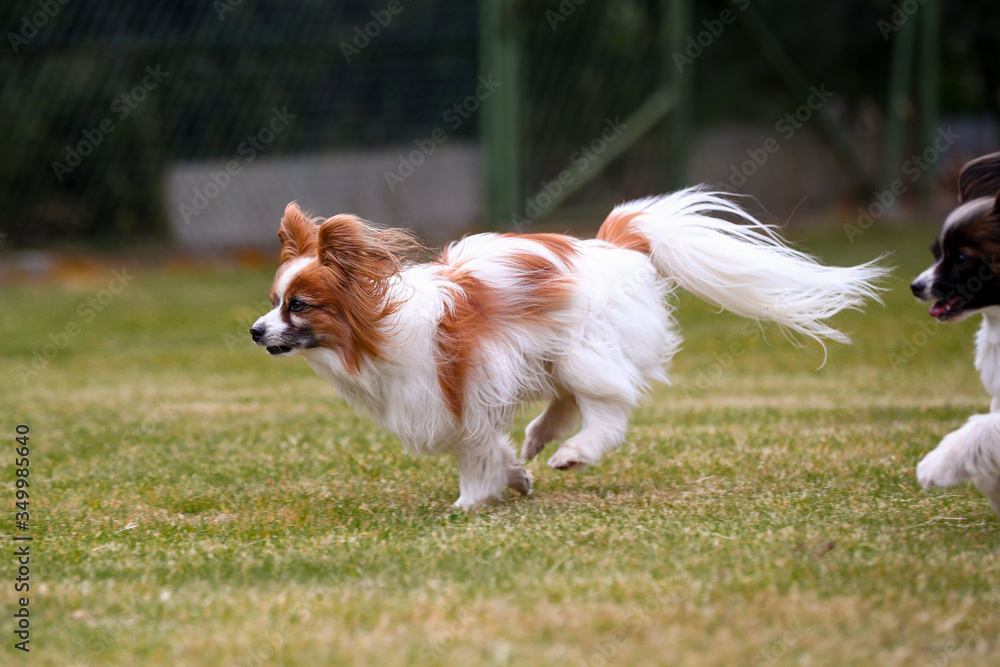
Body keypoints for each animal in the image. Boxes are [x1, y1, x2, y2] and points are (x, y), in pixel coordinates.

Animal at [254, 185, 888, 508]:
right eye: (273, 300)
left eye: (299, 306)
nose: (256, 331)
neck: (378, 329)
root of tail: (620, 246)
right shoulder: (477, 393)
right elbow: (491, 449)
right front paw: (515, 476)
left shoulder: (459, 393)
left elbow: (476, 457)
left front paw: (472, 502)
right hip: (552, 355)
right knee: (566, 402)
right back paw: (540, 440)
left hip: (584, 351)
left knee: (609, 411)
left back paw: (573, 452)